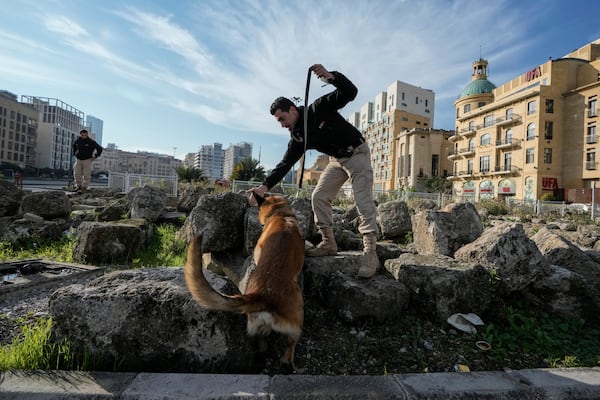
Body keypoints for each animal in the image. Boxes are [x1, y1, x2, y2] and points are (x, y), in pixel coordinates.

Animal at [184, 194, 304, 368]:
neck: (280, 215)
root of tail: (262, 296)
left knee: (263, 344)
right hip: (297, 320)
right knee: (289, 350)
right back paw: (292, 364)